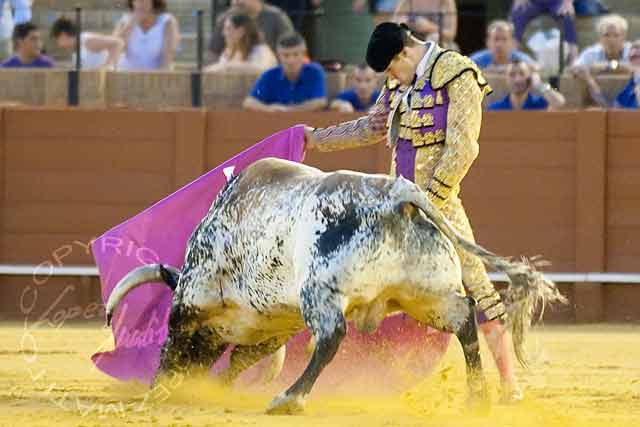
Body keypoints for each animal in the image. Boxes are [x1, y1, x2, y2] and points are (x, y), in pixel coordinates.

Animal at [104, 157, 564, 414]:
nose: (180, 383)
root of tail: (395, 196)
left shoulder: (193, 299)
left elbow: (183, 340)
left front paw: (166, 386)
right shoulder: (274, 326)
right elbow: (241, 357)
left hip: (321, 293)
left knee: (331, 336)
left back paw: (289, 399)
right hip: (428, 295)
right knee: (466, 317)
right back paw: (477, 398)